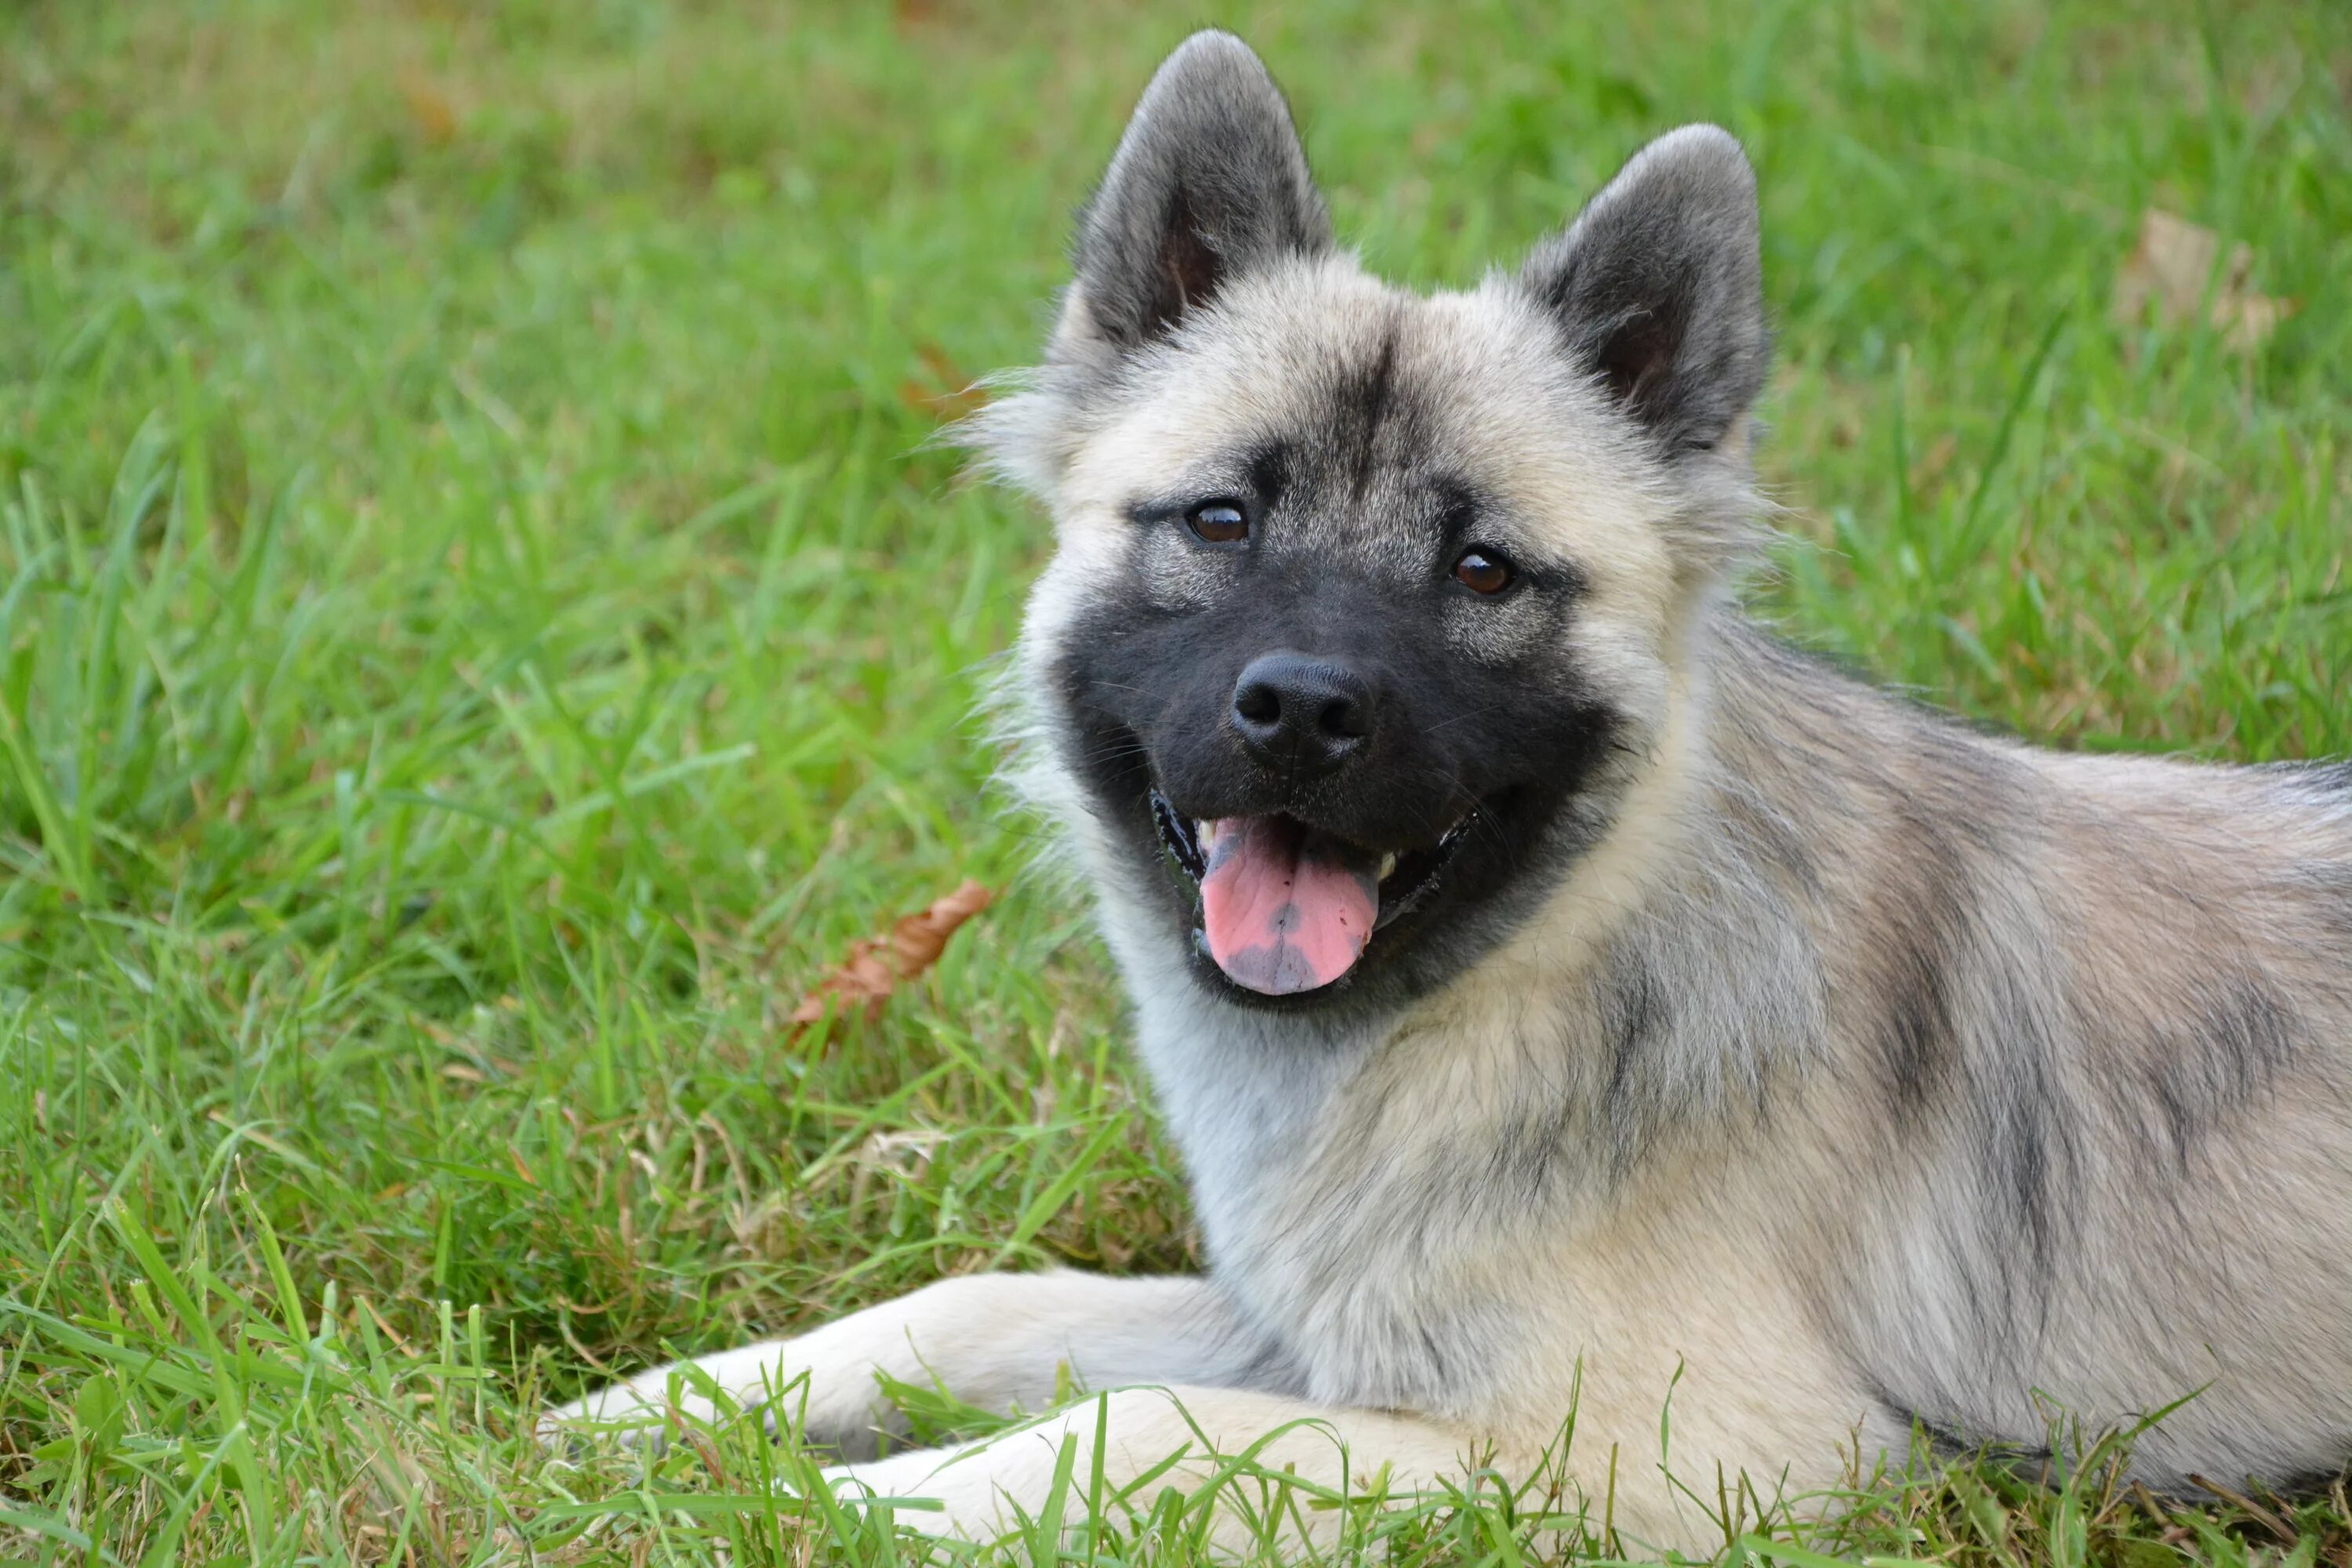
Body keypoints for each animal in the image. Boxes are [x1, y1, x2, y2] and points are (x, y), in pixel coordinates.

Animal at [550, 27, 2352, 1561]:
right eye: (1219, 521)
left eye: (1482, 569)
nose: (1301, 712)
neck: (1524, 977)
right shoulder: (1312, 1318)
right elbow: (988, 1304)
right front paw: (688, 1409)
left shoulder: (1677, 1453)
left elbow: (1147, 1432)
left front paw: (875, 1502)